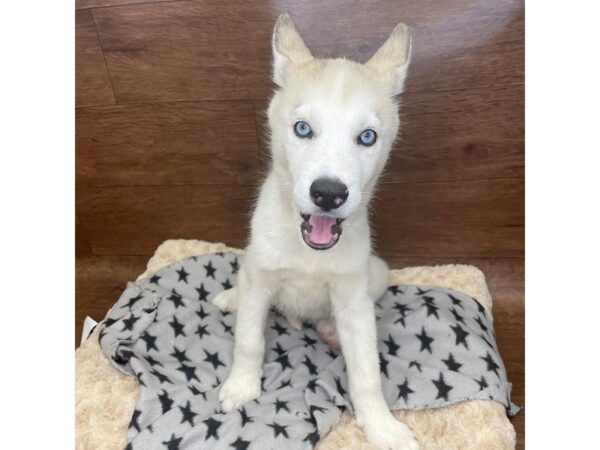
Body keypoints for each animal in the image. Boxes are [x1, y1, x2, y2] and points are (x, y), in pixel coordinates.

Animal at [213, 14, 420, 450]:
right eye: (303, 129)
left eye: (367, 137)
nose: (328, 193)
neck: (309, 251)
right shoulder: (261, 278)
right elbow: (248, 341)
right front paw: (241, 387)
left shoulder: (354, 297)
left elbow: (367, 373)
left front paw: (381, 425)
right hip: (250, 262)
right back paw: (230, 297)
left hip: (377, 273)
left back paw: (328, 330)